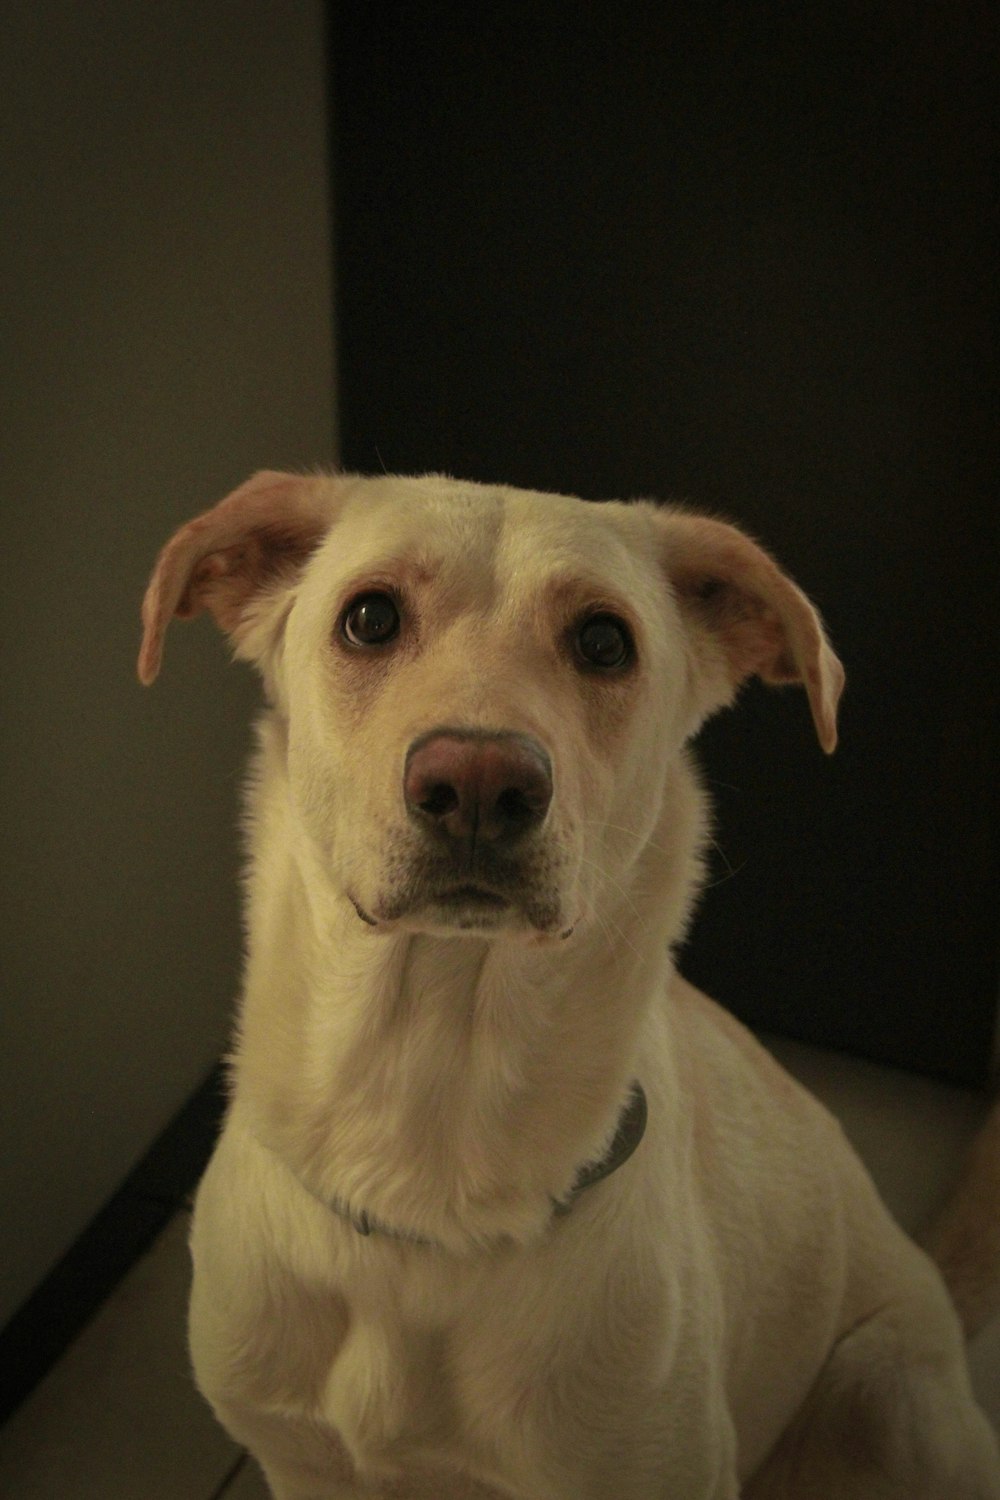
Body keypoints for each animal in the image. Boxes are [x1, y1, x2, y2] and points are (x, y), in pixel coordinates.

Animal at [138, 471, 1000, 1500]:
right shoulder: (300, 1464)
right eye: (370, 618)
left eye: (603, 641)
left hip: (887, 1393)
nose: (478, 782)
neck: (425, 1157)